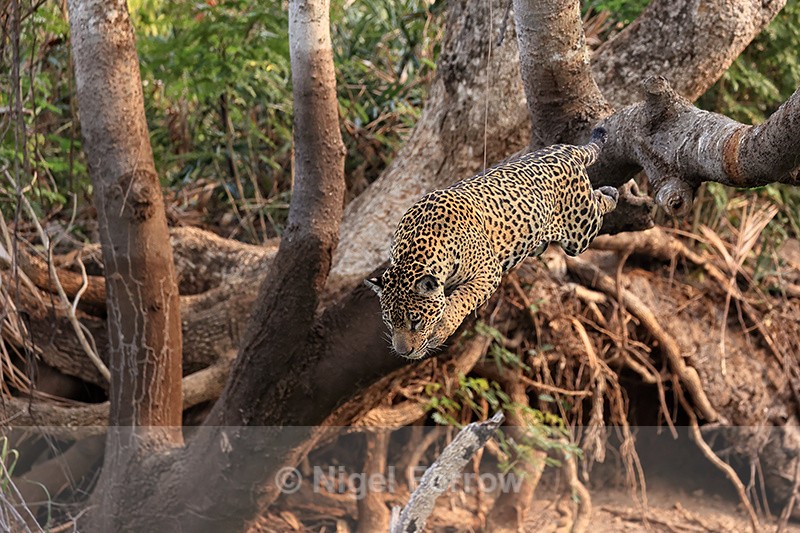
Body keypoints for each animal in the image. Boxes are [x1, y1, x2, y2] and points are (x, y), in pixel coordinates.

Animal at [365, 127, 618, 360]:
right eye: (389, 322)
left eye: (415, 321)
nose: (403, 352)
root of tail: (565, 150)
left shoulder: (488, 271)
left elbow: (464, 297)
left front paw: (444, 327)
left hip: (581, 232)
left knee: (597, 208)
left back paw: (612, 193)